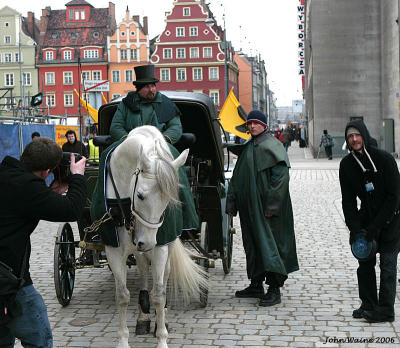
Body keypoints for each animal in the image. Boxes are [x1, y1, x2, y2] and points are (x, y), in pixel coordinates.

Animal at [104, 126, 206, 348]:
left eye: (169, 199)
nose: (147, 242)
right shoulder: (114, 249)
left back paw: (162, 318)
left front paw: (161, 338)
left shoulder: (160, 248)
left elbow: (159, 295)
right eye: (140, 195)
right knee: (143, 270)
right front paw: (122, 340)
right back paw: (143, 317)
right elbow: (122, 296)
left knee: (163, 277)